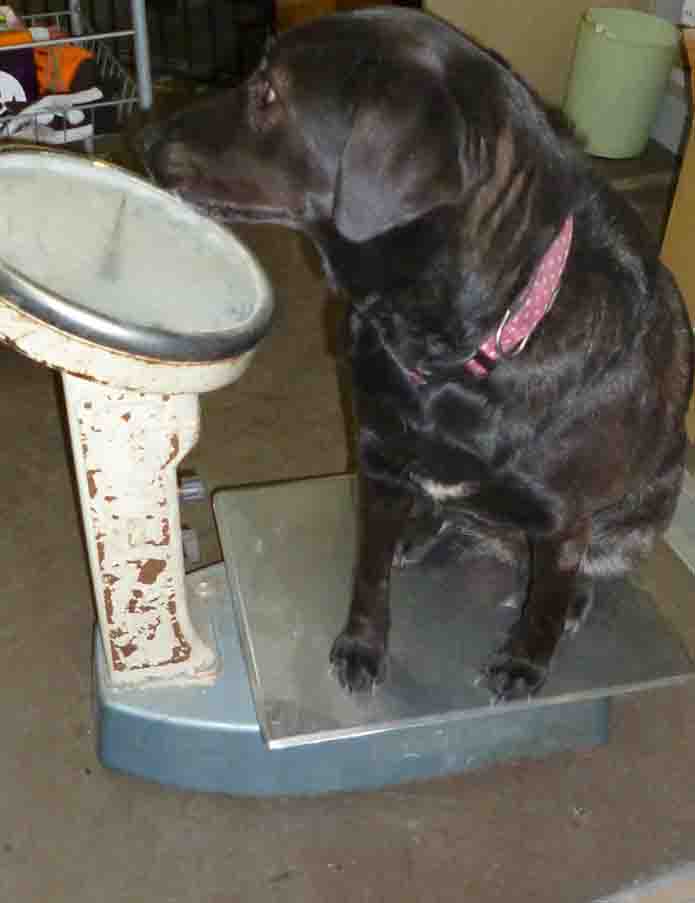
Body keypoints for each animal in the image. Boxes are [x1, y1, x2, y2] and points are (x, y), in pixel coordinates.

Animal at [143, 8, 694, 702]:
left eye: (267, 91)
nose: (146, 142)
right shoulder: (379, 459)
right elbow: (369, 574)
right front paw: (363, 641)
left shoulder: (564, 517)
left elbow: (544, 599)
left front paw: (526, 657)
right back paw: (423, 527)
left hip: (652, 499)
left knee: (588, 562)